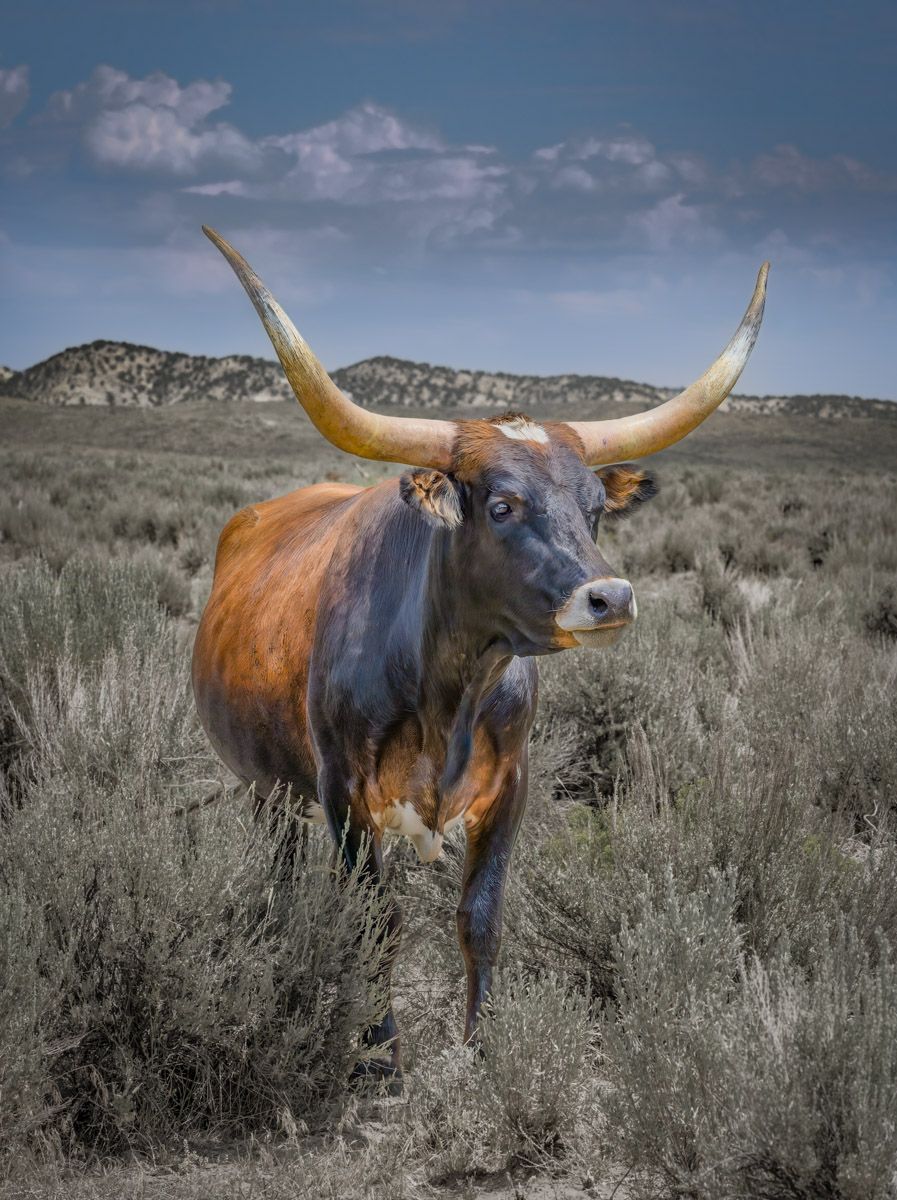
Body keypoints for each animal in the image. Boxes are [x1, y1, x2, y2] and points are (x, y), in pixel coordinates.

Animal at [192, 226, 768, 1086]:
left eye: (595, 508)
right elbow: (377, 920)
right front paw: (381, 1052)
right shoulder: (341, 790)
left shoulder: (510, 785)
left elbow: (481, 914)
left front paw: (485, 1045)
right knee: (285, 872)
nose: (610, 598)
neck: (449, 691)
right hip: (266, 787)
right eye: (501, 505)